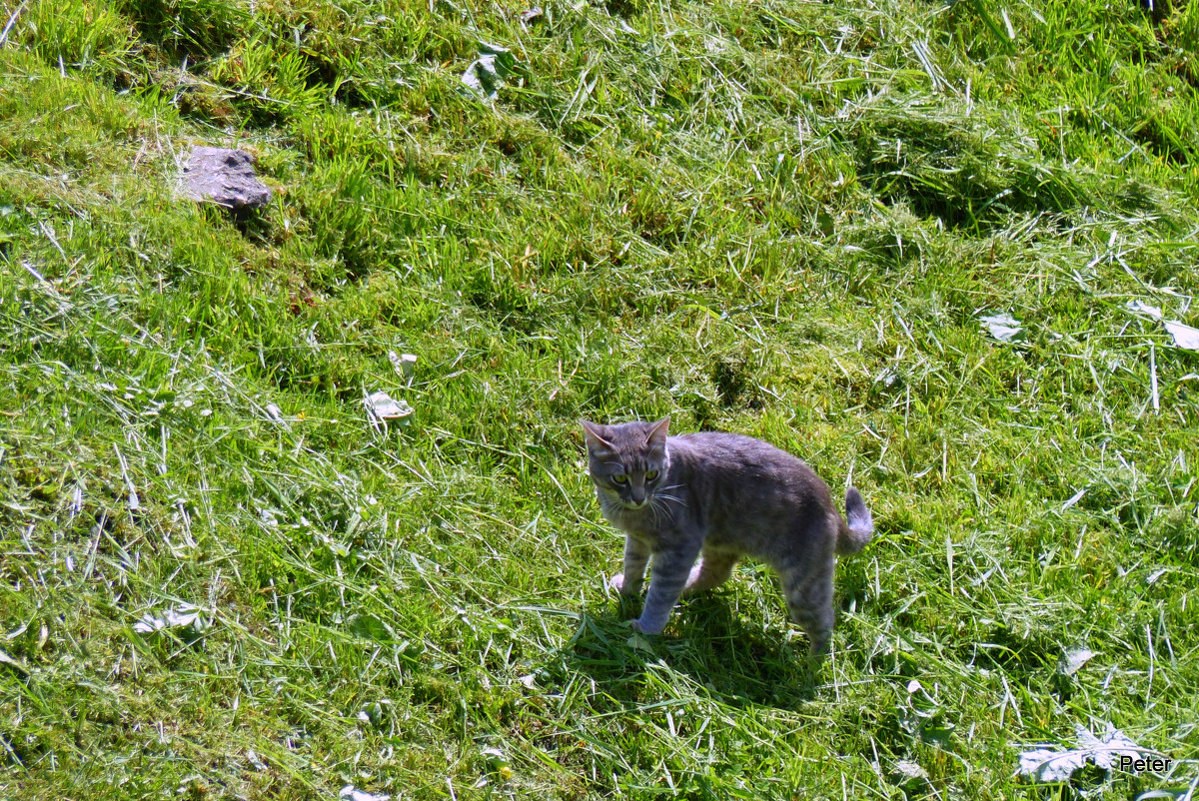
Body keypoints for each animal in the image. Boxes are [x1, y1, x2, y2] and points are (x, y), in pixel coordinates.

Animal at [580, 417, 872, 652]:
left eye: (651, 474)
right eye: (620, 478)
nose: (639, 498)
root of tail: (830, 506)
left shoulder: (680, 546)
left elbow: (661, 593)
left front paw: (647, 628)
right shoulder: (638, 539)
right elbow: (633, 564)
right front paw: (627, 590)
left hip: (804, 586)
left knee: (824, 622)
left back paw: (813, 666)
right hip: (722, 542)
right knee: (716, 573)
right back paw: (686, 588)